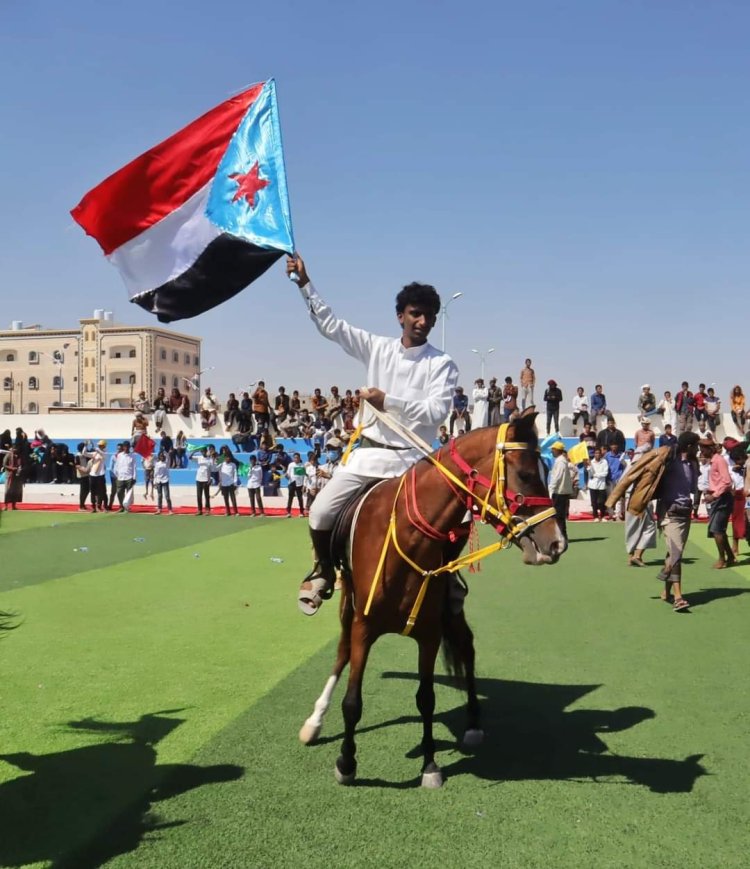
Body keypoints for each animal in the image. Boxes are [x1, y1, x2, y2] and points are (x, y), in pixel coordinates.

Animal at [296, 408, 568, 788]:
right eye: (526, 475)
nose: (557, 543)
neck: (408, 536)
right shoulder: (364, 626)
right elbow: (352, 701)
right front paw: (347, 763)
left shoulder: (428, 632)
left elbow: (426, 698)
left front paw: (429, 764)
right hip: (348, 605)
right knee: (342, 653)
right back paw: (314, 720)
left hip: (449, 612)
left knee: (466, 647)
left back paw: (473, 724)